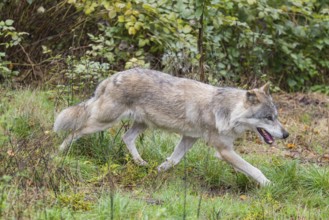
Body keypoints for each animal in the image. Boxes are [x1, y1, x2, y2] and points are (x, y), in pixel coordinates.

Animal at [53, 68, 288, 186]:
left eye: (277, 117)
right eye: (268, 118)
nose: (286, 134)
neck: (227, 112)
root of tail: (113, 77)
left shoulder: (189, 138)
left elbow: (174, 160)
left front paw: (158, 171)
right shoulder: (224, 151)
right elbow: (254, 169)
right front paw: (270, 185)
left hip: (141, 125)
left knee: (126, 138)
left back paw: (141, 163)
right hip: (102, 123)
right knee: (74, 131)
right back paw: (59, 153)